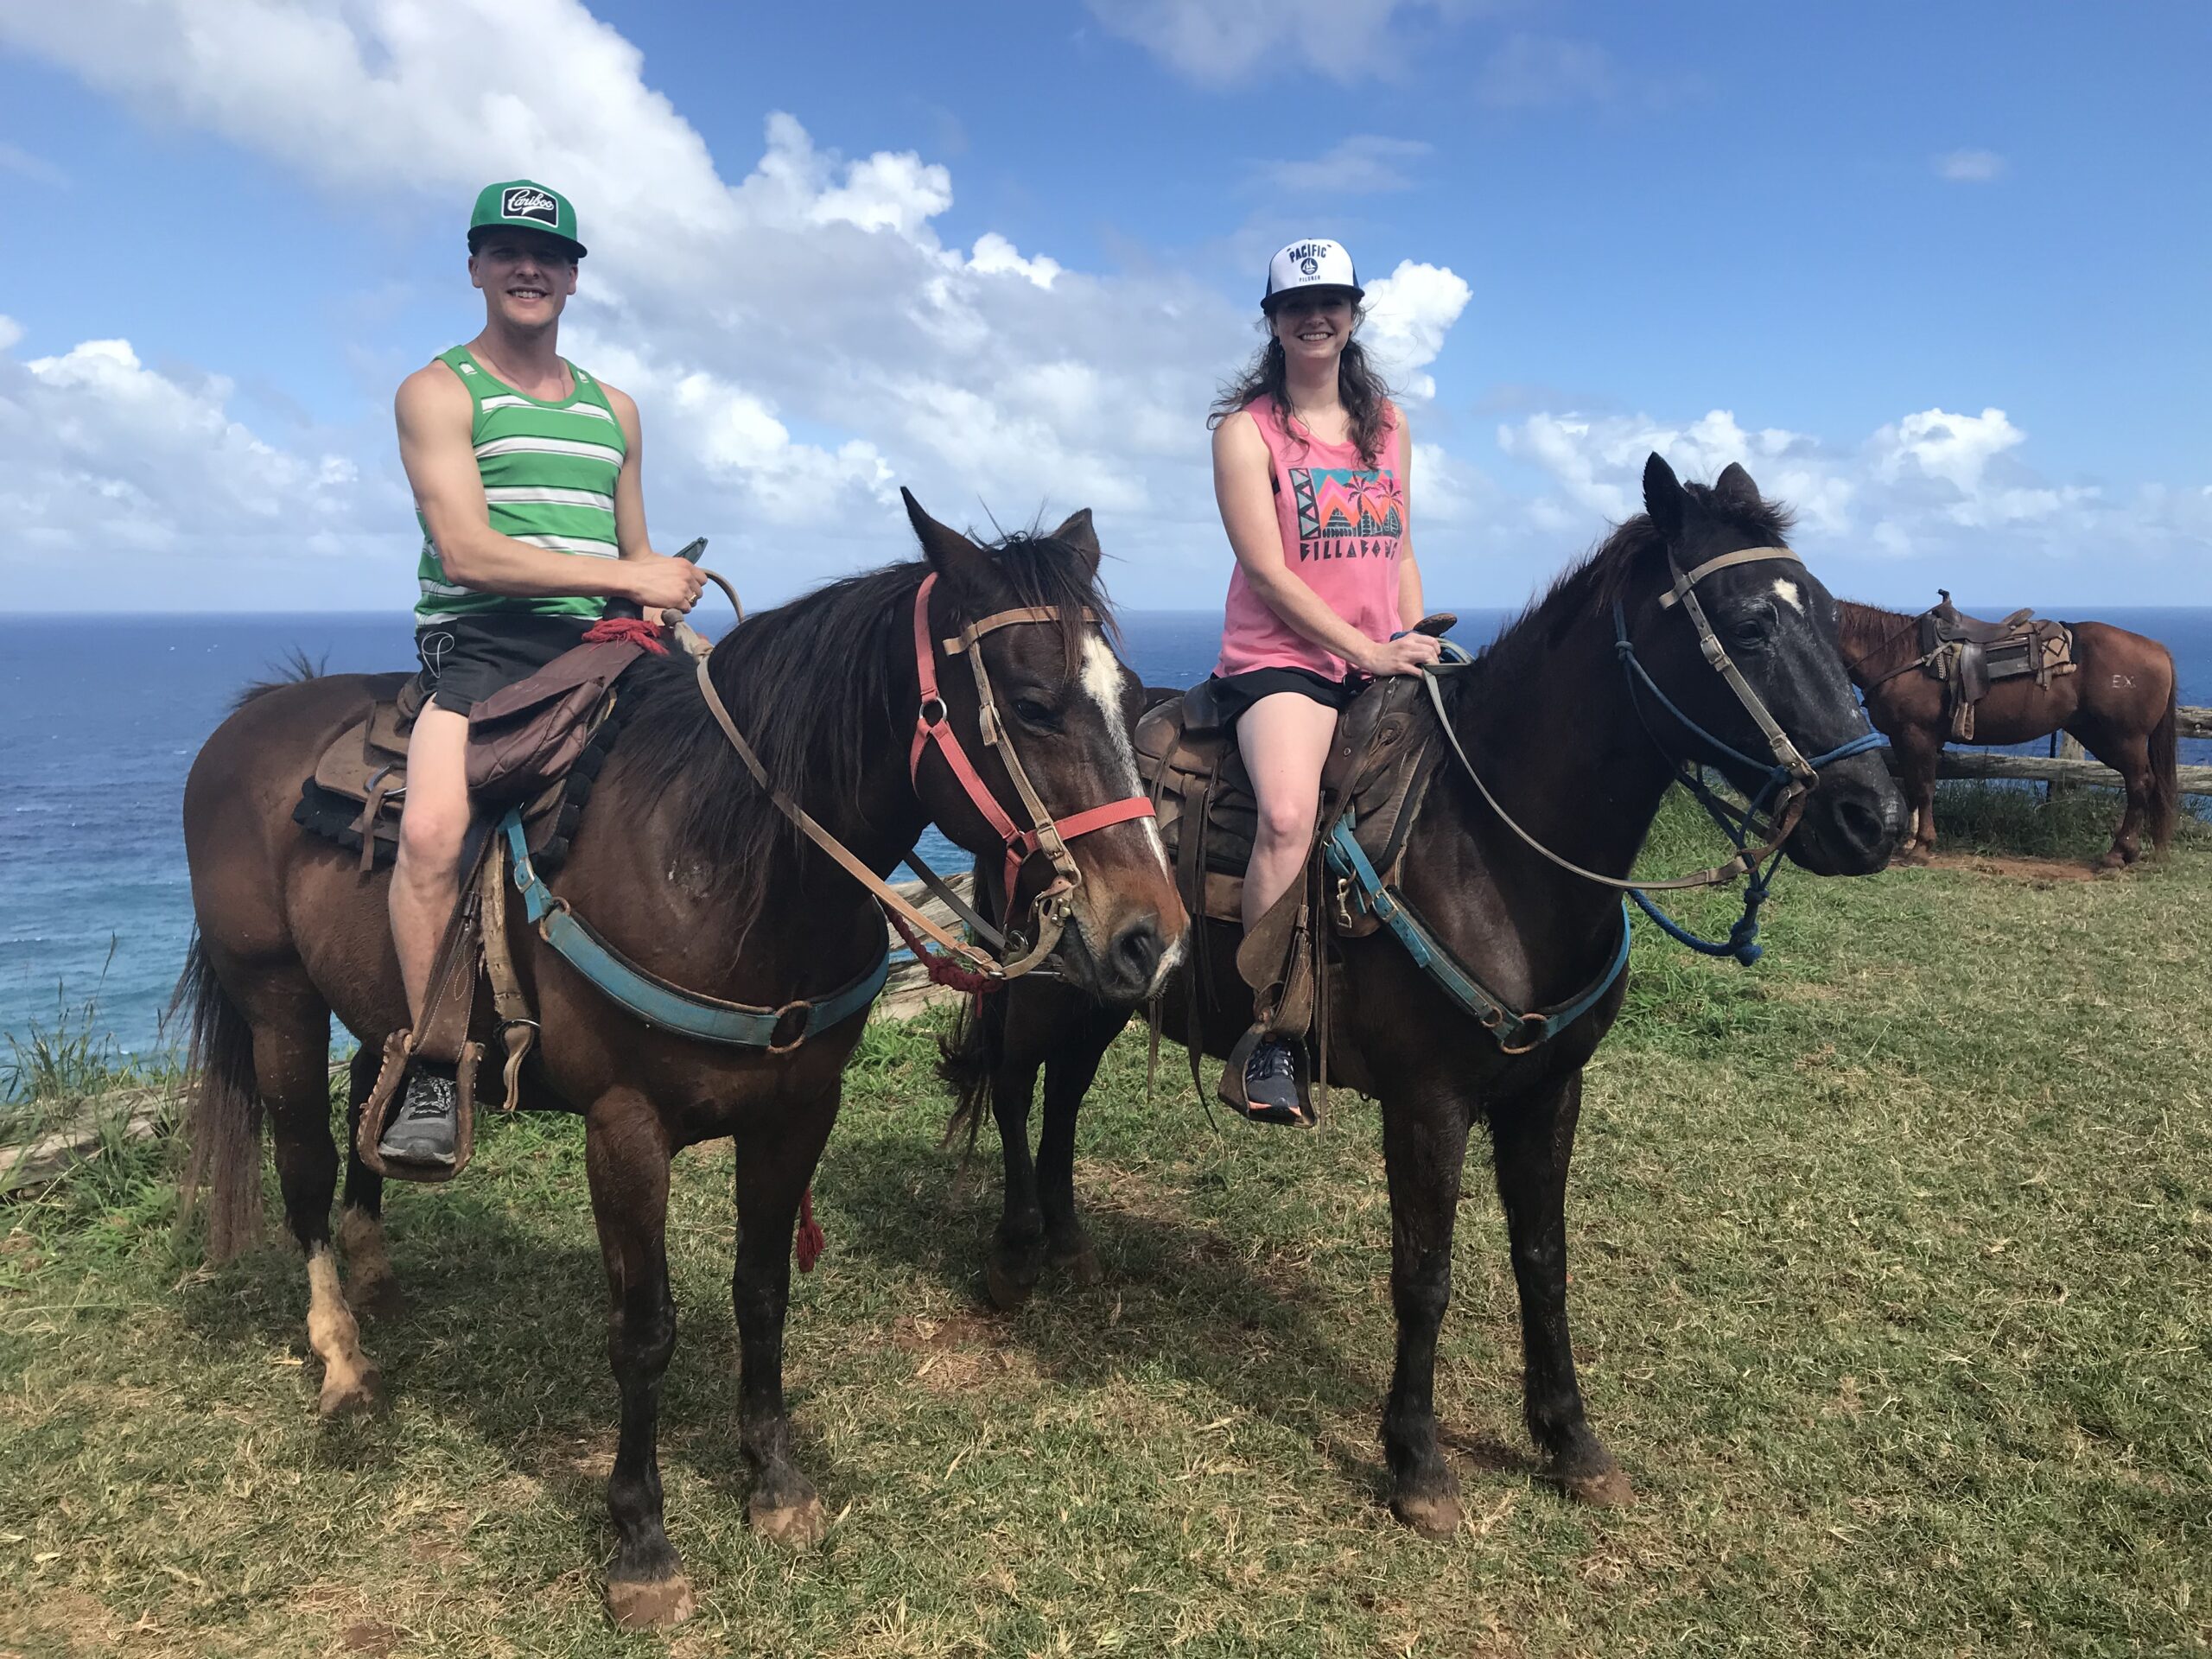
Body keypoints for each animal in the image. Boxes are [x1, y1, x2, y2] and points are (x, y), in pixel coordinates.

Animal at [170, 498, 1185, 1637]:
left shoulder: (799, 1111)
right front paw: (642, 1539)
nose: (1150, 937)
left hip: (377, 1000)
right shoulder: (625, 1130)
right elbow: (644, 1329)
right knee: (301, 1160)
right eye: (1031, 702)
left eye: (1130, 698)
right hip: (277, 1002)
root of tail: (260, 711)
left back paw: (376, 1254)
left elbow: (761, 1293)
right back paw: (340, 1353)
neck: (723, 865)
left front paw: (773, 1480)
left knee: (374, 1094)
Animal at [933, 455, 1902, 1530]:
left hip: (1111, 987)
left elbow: (1543, 1262)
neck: (1491, 846)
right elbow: (1423, 1275)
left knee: (1062, 1094)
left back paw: (1069, 1247)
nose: (1873, 816)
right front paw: (1417, 1463)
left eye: (1830, 615)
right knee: (1015, 1087)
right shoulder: (1429, 1102)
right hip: (1049, 983)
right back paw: (1016, 1256)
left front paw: (1570, 1442)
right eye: (1748, 624)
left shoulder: (1549, 1090)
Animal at [1831, 601, 2177, 871]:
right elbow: (1913, 789)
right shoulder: (1902, 738)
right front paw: (1909, 842)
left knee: (2140, 785)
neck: (1899, 657)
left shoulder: (1917, 735)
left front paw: (1921, 847)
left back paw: (2117, 854)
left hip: (2123, 739)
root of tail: (2158, 649)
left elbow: (1924, 788)